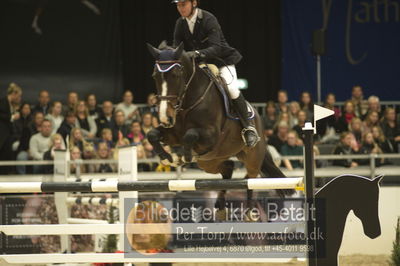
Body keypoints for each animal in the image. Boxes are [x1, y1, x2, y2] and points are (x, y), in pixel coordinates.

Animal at [145, 41, 292, 209]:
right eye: (154, 76)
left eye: (176, 75)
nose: (165, 117)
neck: (188, 102)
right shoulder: (173, 134)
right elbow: (152, 135)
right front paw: (167, 157)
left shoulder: (211, 137)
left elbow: (190, 135)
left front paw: (183, 156)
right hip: (209, 161)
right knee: (229, 167)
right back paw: (221, 204)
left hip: (252, 157)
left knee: (250, 178)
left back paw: (249, 209)